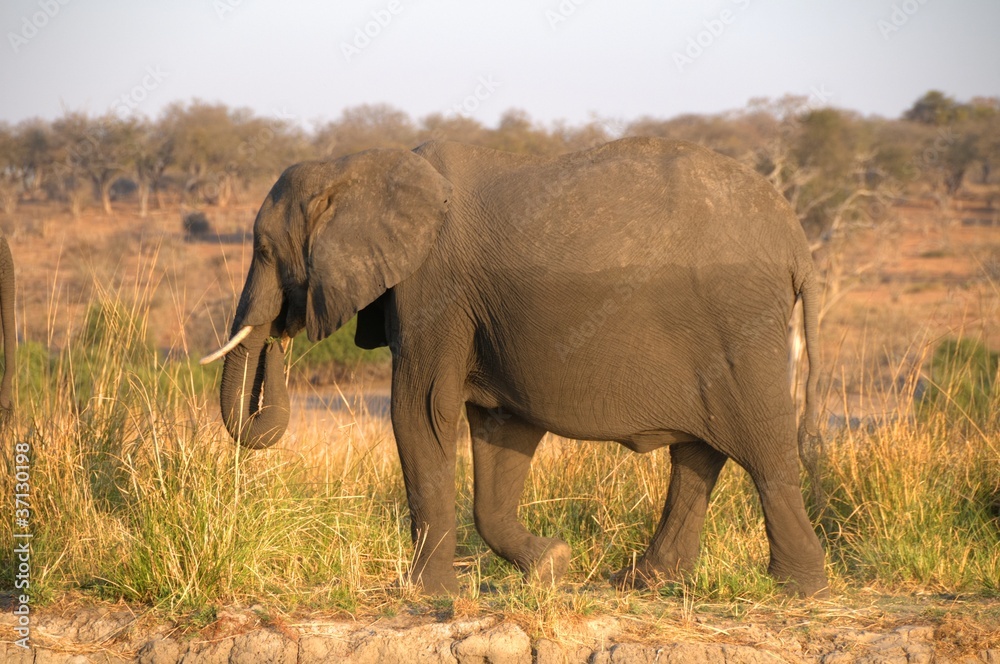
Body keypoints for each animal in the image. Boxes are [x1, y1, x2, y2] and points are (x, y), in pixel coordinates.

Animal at [203, 137, 828, 597]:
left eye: (265, 249)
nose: (280, 329)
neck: (357, 163)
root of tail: (798, 242)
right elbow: (499, 430)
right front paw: (552, 566)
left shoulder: (435, 287)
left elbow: (421, 411)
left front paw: (425, 594)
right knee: (700, 454)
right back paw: (643, 581)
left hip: (740, 323)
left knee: (764, 450)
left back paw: (799, 589)